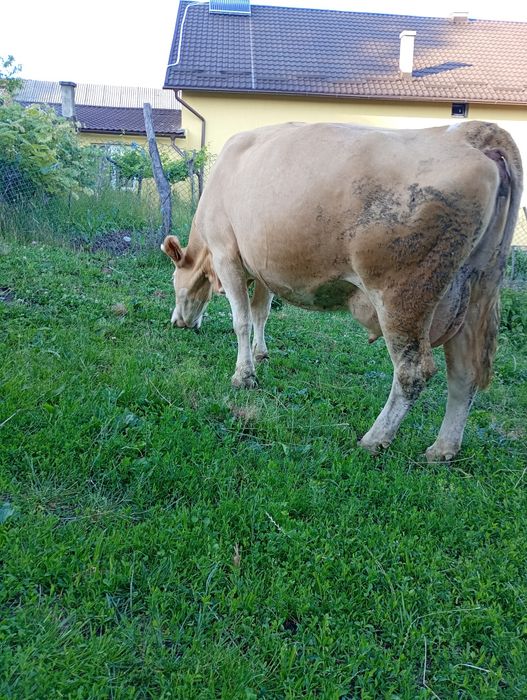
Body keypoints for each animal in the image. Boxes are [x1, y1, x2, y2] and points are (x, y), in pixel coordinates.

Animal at [161, 121, 523, 461]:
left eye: (174, 282)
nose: (177, 322)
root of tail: (468, 134)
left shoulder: (228, 255)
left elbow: (241, 320)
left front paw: (244, 376)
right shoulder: (262, 266)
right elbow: (261, 313)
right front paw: (261, 354)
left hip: (404, 295)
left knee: (414, 372)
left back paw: (374, 439)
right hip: (474, 294)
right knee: (464, 373)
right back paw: (442, 449)